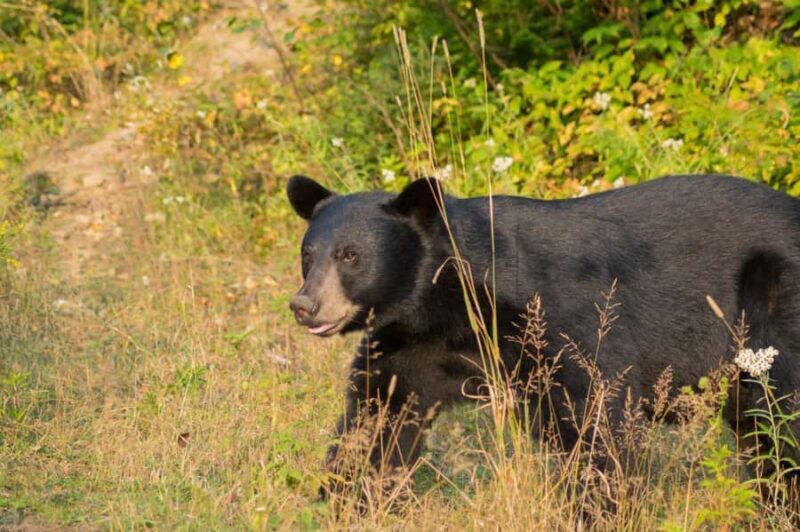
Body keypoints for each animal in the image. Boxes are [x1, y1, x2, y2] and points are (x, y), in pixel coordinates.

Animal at [286, 173, 800, 498]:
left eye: (350, 255)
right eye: (308, 254)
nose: (304, 306)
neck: (451, 301)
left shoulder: (564, 317)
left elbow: (599, 419)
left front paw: (602, 506)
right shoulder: (410, 345)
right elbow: (377, 419)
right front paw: (341, 495)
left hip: (772, 304)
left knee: (781, 417)